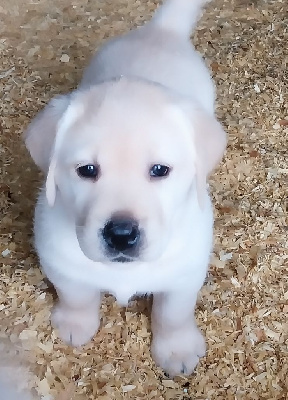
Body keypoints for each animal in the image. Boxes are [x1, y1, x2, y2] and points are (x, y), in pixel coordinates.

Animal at [24, 0, 226, 378]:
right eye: (87, 170)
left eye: (160, 170)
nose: (121, 234)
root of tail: (160, 30)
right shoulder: (60, 262)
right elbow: (76, 296)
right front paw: (75, 325)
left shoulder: (184, 274)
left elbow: (173, 314)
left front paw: (177, 350)